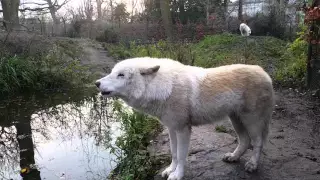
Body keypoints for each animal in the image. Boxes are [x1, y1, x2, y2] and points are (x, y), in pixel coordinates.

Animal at [95, 57, 276, 180]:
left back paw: (252, 165)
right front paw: (170, 170)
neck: (164, 87)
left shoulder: (183, 130)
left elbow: (181, 155)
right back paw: (233, 157)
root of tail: (264, 72)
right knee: (244, 141)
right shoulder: (171, 129)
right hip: (236, 119)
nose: (96, 83)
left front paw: (177, 175)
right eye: (112, 72)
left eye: (121, 75)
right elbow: (174, 153)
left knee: (258, 142)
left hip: (252, 121)